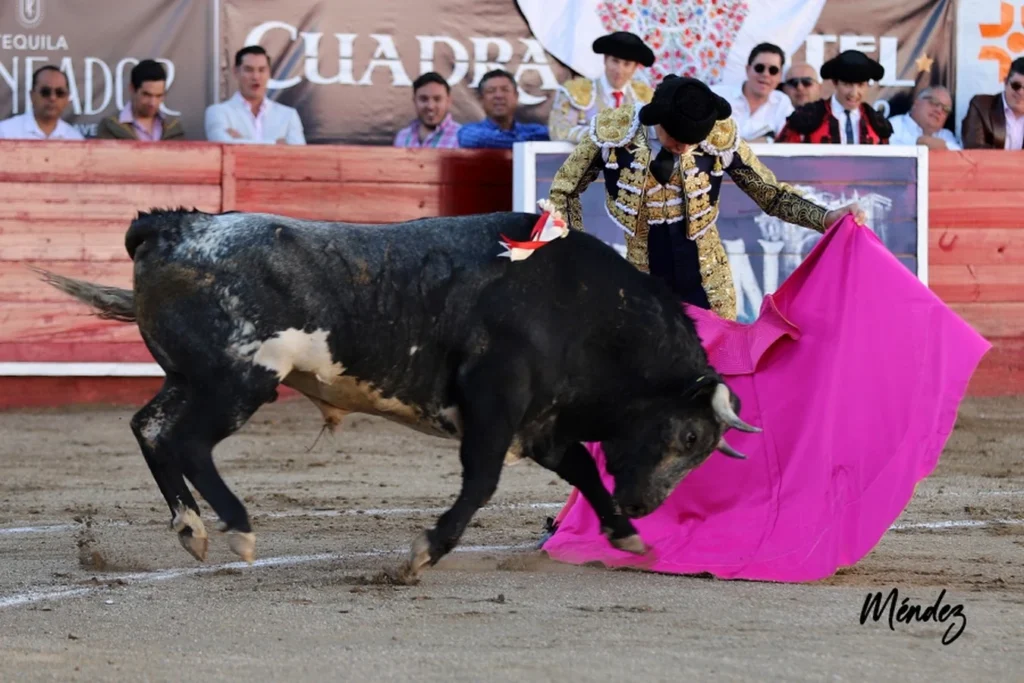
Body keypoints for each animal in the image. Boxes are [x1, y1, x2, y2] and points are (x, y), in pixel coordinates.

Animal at [37, 205, 761, 585]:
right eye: (689, 435)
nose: (645, 503)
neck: (583, 306)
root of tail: (172, 228)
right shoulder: (496, 400)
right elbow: (482, 482)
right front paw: (423, 552)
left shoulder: (543, 421)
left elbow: (582, 467)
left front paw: (626, 534)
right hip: (239, 380)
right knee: (187, 441)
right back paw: (237, 530)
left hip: (191, 378)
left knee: (150, 428)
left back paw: (191, 529)